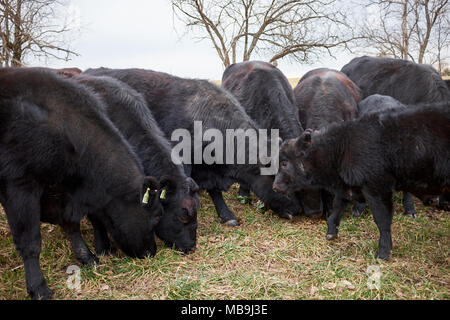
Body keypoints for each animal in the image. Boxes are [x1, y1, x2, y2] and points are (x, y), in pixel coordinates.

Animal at [0, 68, 162, 300]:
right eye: (156, 216)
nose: (151, 252)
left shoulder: (63, 194)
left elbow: (71, 226)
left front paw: (87, 257)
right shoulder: (19, 187)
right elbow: (30, 242)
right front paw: (38, 287)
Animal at [274, 102, 450, 260]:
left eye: (284, 163)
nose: (275, 186)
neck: (343, 147)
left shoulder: (377, 189)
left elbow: (382, 219)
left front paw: (383, 253)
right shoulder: (347, 187)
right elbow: (337, 208)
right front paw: (331, 233)